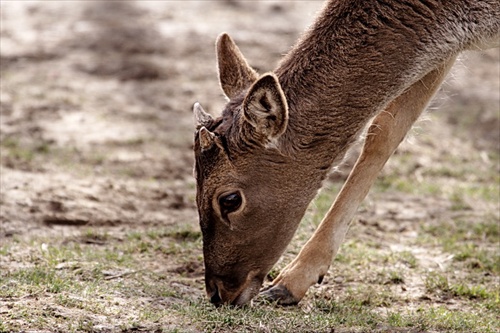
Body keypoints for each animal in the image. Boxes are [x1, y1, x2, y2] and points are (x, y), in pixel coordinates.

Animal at [190, 0, 496, 306]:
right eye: (195, 178)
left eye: (230, 200)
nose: (218, 293)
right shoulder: (443, 50)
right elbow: (385, 130)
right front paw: (287, 283)